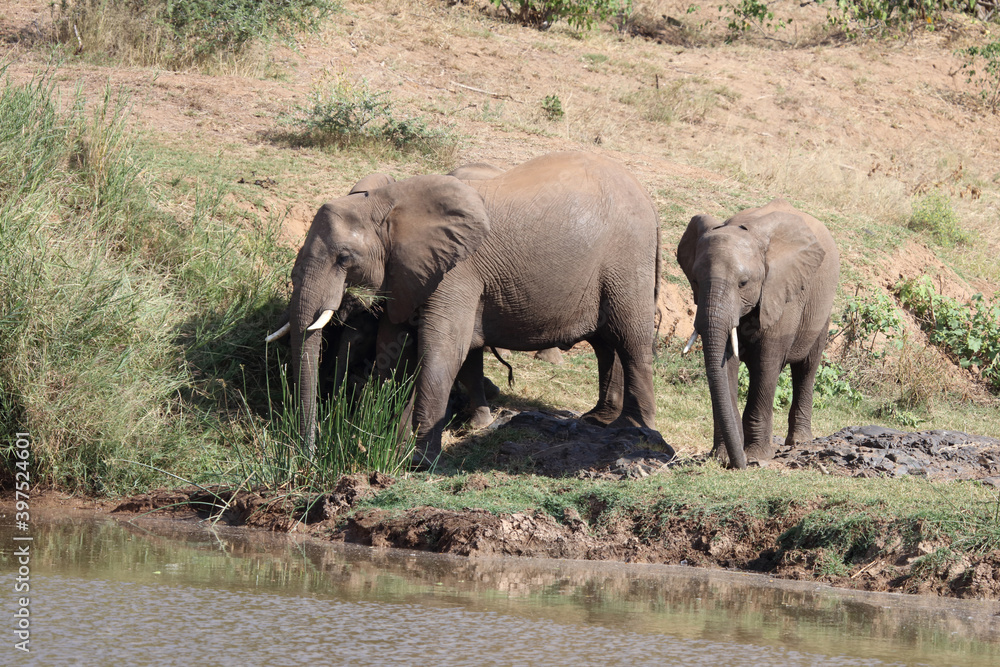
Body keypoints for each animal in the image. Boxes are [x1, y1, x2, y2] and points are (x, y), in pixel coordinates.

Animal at [282, 151, 661, 464]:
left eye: (344, 258)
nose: (309, 455)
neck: (387, 203)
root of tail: (647, 197)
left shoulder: (458, 270)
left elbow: (443, 349)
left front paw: (418, 459)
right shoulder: (405, 272)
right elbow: (397, 345)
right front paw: (387, 436)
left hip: (628, 258)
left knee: (631, 340)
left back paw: (635, 429)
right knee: (605, 342)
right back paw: (599, 419)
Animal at [676, 198, 839, 469]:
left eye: (743, 283)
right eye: (696, 281)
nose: (739, 465)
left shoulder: (780, 291)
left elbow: (766, 364)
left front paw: (755, 457)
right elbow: (726, 365)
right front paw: (723, 457)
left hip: (821, 307)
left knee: (806, 368)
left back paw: (799, 442)